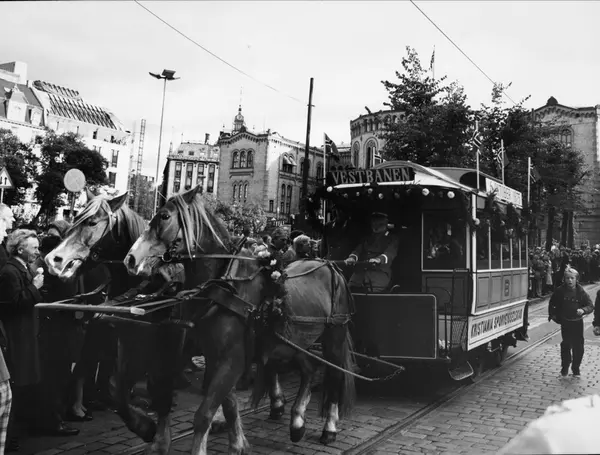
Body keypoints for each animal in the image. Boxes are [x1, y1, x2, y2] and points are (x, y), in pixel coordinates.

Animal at [124, 185, 356, 455]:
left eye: (164, 216)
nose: (130, 259)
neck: (226, 284)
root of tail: (329, 265)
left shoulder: (231, 358)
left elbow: (204, 414)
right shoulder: (218, 356)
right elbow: (229, 405)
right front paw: (238, 444)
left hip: (334, 336)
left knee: (335, 377)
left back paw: (329, 426)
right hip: (294, 341)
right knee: (309, 368)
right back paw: (297, 421)